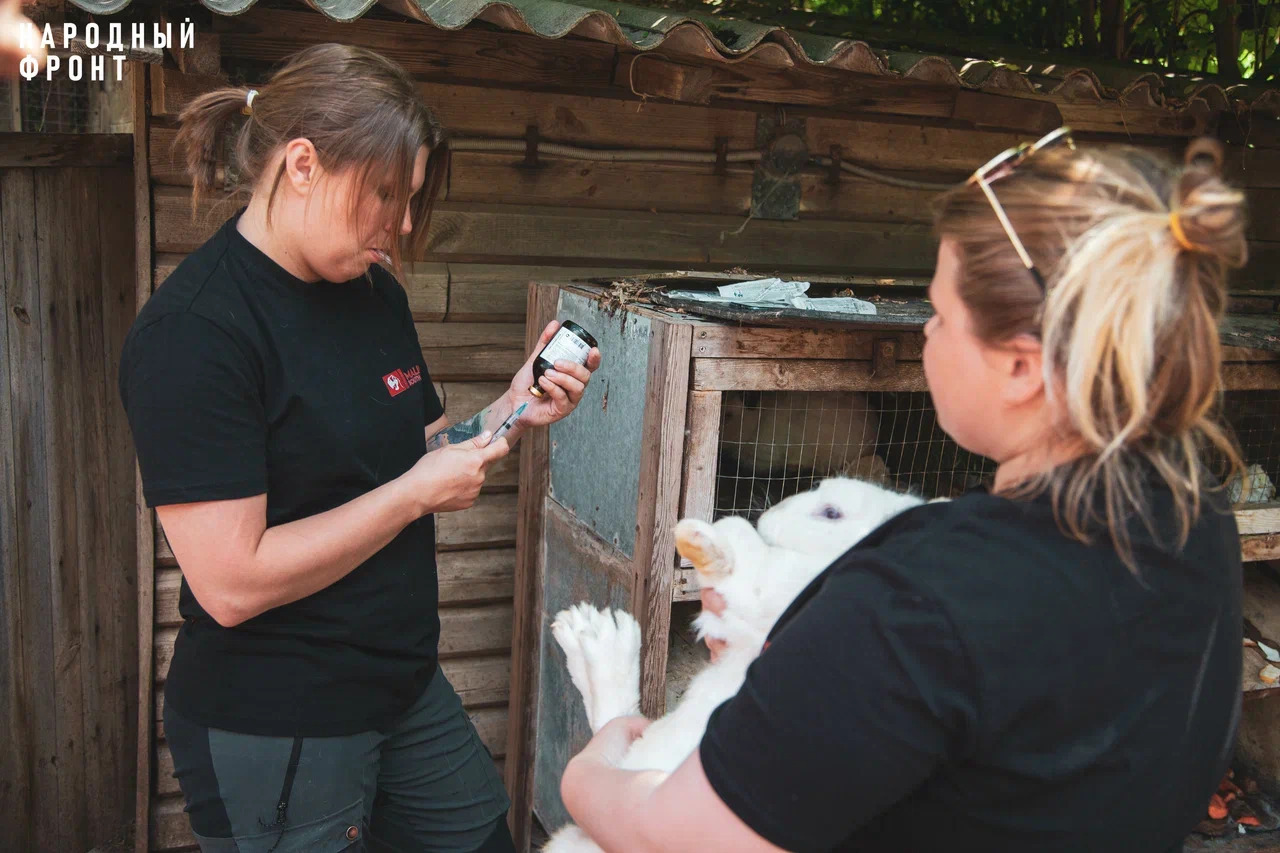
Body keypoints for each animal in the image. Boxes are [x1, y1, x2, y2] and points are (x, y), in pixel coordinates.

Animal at [545, 473, 926, 845]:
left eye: (832, 513)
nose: (771, 514)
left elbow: (751, 563)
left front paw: (701, 536)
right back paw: (587, 630)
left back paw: (596, 633)